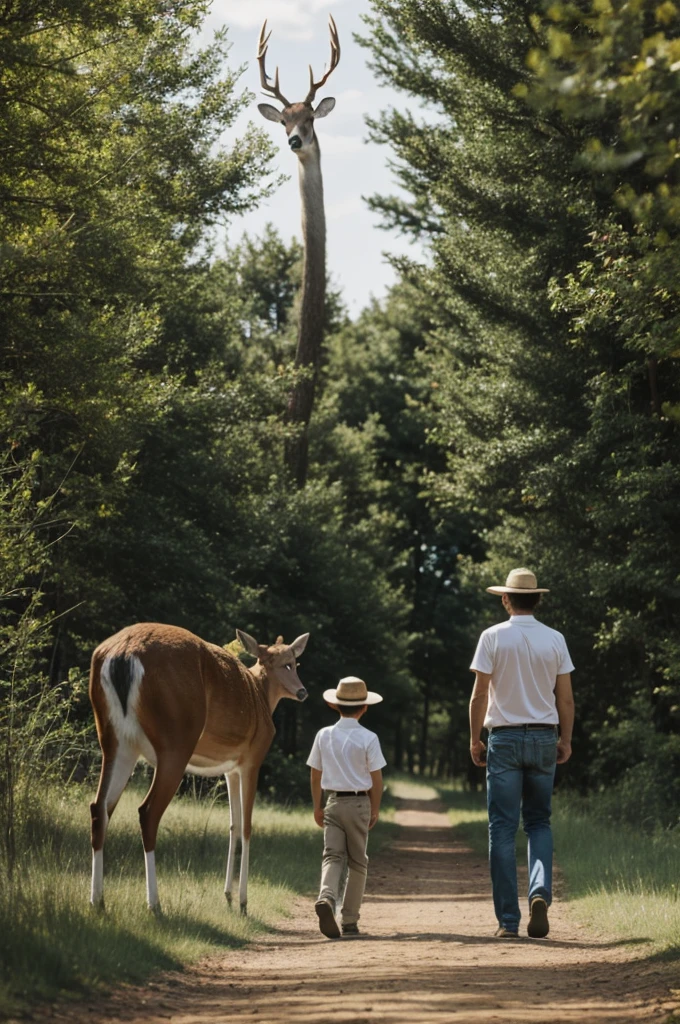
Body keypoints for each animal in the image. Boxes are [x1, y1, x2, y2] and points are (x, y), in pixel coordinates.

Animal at [89, 618, 309, 917]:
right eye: (290, 663)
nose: (303, 691)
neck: (261, 694)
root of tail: (122, 654)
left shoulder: (231, 767)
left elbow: (233, 824)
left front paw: (227, 896)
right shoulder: (253, 757)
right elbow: (247, 825)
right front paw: (243, 902)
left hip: (114, 740)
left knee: (99, 808)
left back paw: (97, 902)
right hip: (175, 741)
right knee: (147, 812)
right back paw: (154, 905)